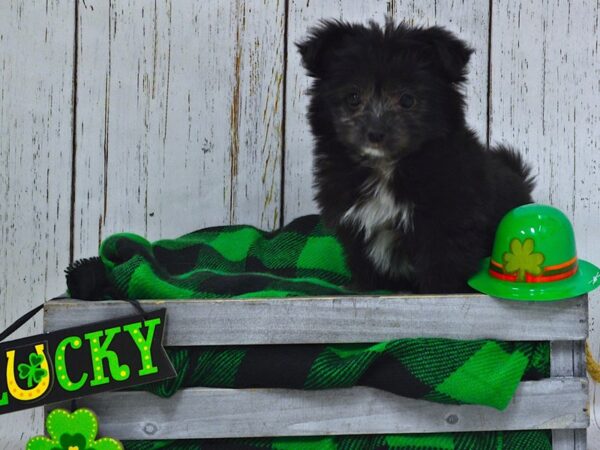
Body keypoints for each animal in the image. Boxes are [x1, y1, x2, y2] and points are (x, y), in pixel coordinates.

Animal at [298, 20, 532, 296]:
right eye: (353, 97)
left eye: (407, 100)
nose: (375, 133)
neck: (386, 167)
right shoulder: (353, 221)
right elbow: (360, 258)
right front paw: (362, 286)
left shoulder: (447, 220)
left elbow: (442, 262)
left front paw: (437, 292)